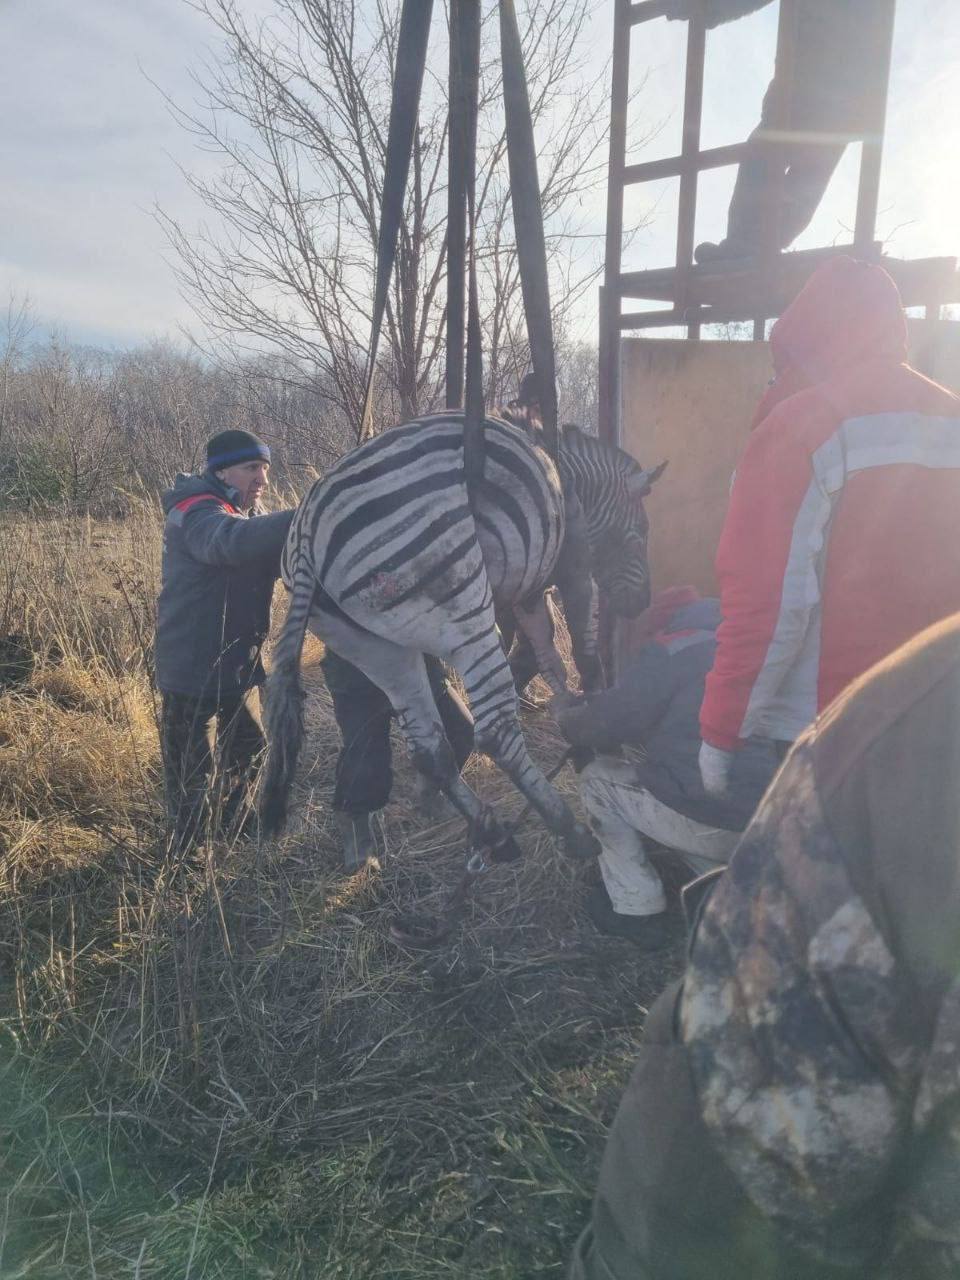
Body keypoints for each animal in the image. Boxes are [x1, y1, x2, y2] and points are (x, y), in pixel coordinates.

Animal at [263, 414, 670, 865]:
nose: (640, 604)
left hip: (377, 650)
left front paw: (571, 719)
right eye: (642, 531)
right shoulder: (574, 566)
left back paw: (491, 833)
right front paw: (596, 738)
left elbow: (548, 655)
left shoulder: (529, 592)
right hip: (464, 617)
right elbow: (584, 656)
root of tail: (305, 537)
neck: (569, 479)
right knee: (494, 733)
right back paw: (569, 830)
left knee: (428, 747)